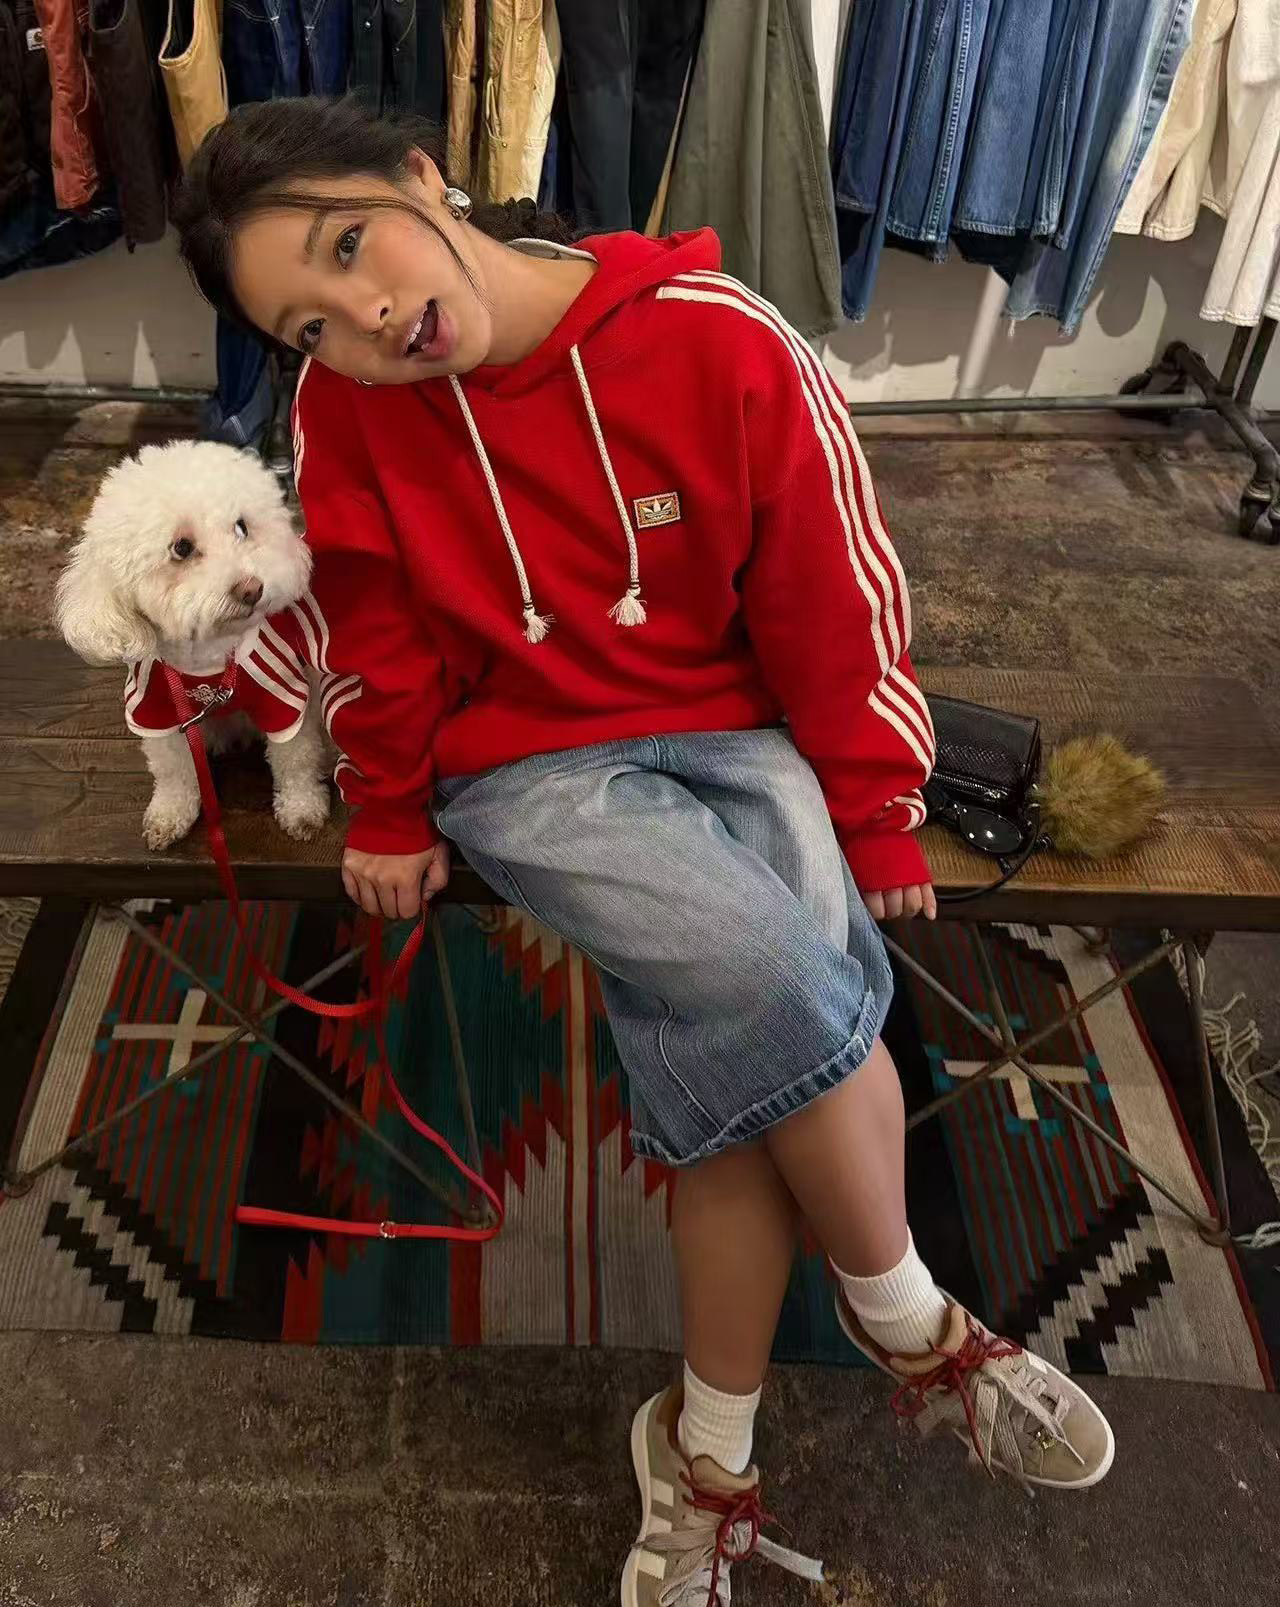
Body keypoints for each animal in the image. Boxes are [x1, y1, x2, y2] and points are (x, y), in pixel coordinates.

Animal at [56, 439, 331, 850]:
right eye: (182, 548)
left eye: (241, 527)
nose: (252, 588)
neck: (209, 658)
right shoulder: (154, 711)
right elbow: (173, 772)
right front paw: (170, 815)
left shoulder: (285, 698)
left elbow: (296, 759)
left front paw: (302, 808)